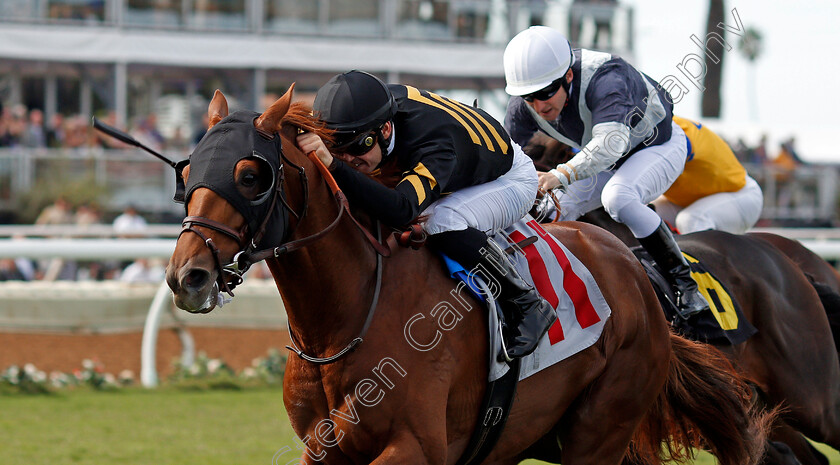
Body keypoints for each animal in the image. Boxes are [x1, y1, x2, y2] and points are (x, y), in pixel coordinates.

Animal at [166, 87, 776, 464]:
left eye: (250, 175)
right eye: (189, 170)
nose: (186, 277)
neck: (345, 321)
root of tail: (635, 272)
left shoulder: (416, 447)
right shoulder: (324, 448)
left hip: (598, 430)